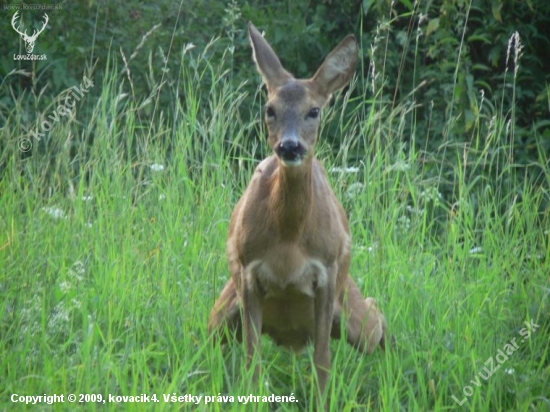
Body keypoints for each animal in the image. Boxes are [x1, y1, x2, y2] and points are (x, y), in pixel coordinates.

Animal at [210, 22, 388, 402]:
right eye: (269, 108)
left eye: (314, 111)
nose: (289, 146)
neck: (289, 240)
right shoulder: (247, 271)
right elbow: (252, 358)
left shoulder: (328, 271)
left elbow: (322, 359)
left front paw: (324, 401)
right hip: (221, 311)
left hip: (351, 311)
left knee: (376, 317)